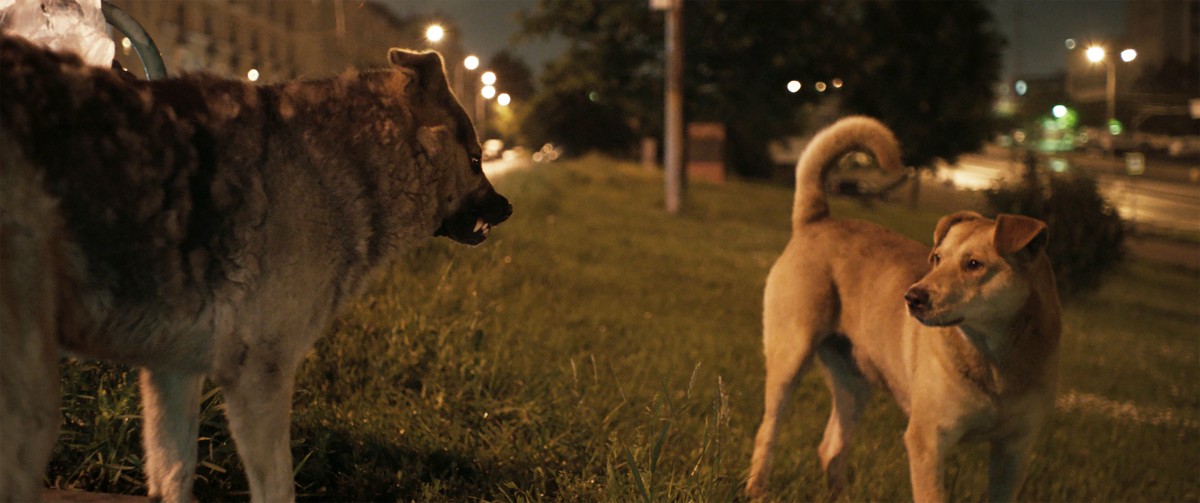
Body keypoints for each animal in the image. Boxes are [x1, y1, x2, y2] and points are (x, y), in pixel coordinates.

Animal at [0, 36, 511, 503]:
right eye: (476, 160)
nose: (508, 207)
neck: (348, 162)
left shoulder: (173, 373)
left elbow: (173, 476)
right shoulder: (259, 377)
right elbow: (278, 487)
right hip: (34, 402)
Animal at [744, 116, 1065, 501]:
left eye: (973, 264)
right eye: (937, 258)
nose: (912, 297)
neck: (995, 359)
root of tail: (817, 220)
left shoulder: (1014, 451)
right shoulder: (928, 440)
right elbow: (932, 494)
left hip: (854, 381)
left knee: (832, 445)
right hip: (790, 356)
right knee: (768, 430)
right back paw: (756, 488)